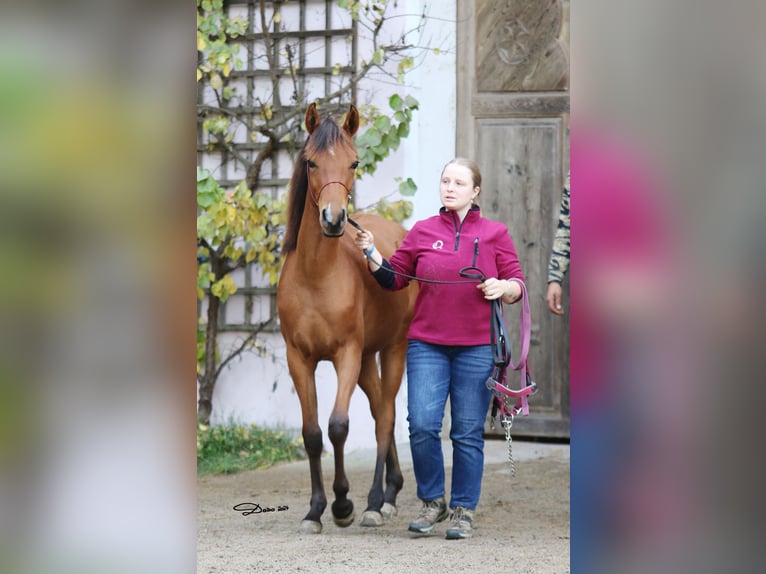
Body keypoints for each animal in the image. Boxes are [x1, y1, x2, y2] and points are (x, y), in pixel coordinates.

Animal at [280, 103, 416, 536]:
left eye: (354, 162)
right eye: (311, 162)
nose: (335, 219)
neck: (316, 276)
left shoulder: (346, 355)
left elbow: (338, 425)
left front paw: (342, 504)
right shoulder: (299, 359)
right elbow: (311, 434)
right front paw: (314, 510)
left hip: (392, 350)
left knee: (385, 417)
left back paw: (376, 502)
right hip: (369, 360)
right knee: (380, 410)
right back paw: (391, 492)